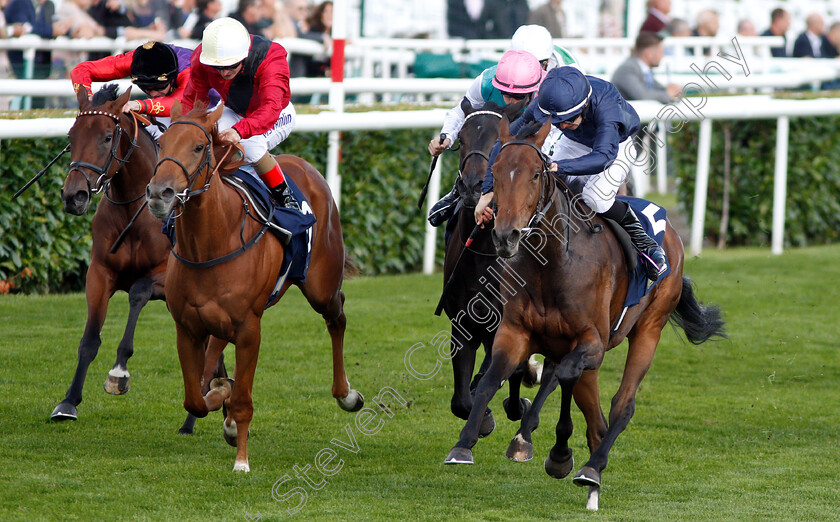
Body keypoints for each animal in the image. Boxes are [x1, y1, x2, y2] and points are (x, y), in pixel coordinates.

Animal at [146, 101, 362, 472]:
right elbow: (194, 399)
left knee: (337, 317)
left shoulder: (250, 329)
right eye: (161, 144)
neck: (211, 244)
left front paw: (241, 460)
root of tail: (307, 167)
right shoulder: (186, 327)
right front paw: (222, 400)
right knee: (218, 345)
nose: (160, 193)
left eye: (199, 147)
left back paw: (346, 394)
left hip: (322, 286)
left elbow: (243, 400)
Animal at [442, 118, 724, 508]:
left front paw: (537, 444)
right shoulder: (514, 333)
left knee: (622, 405)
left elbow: (560, 375)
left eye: (535, 175)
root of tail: (671, 233)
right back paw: (589, 480)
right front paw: (464, 443)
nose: (505, 235)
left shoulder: (591, 342)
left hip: (649, 328)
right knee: (595, 419)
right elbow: (490, 380)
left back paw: (591, 469)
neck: (552, 264)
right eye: (495, 173)